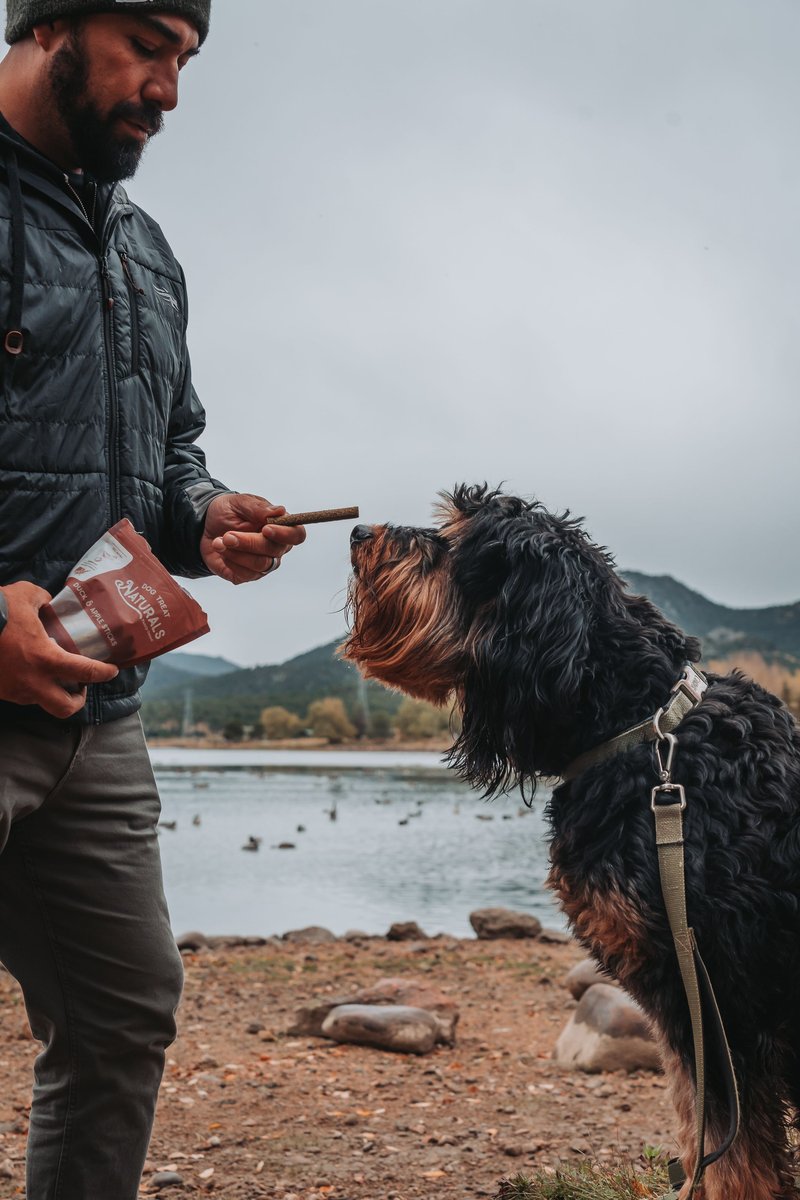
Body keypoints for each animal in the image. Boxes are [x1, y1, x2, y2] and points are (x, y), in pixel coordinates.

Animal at [343, 482, 800, 1195]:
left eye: (457, 542)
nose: (359, 534)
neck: (645, 732)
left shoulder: (719, 1004)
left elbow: (732, 1160)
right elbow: (706, 1138)